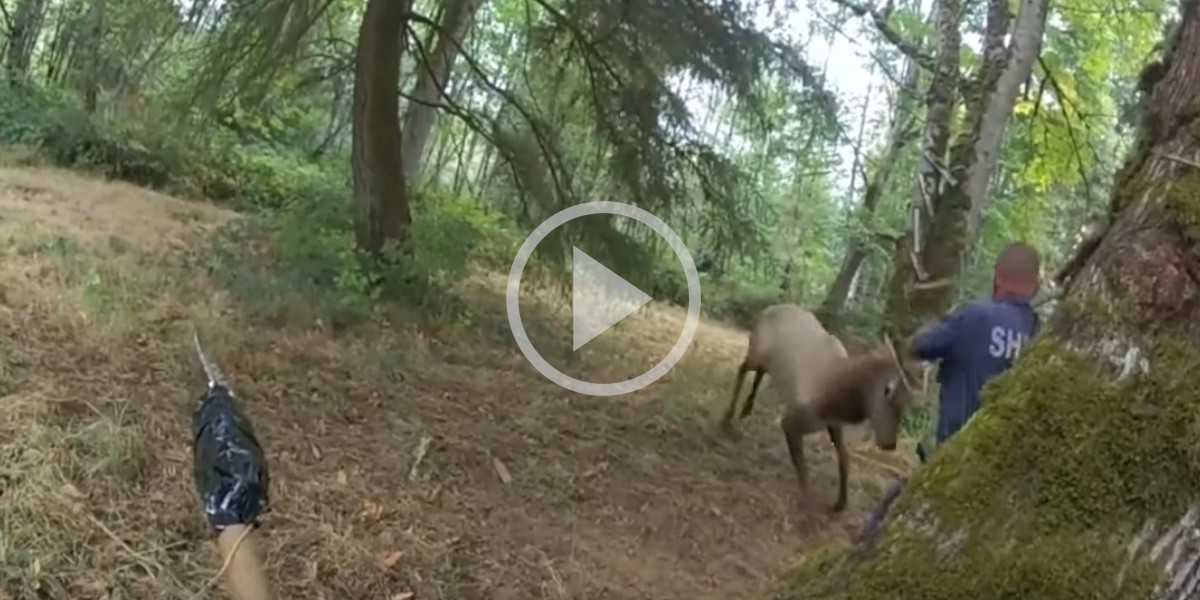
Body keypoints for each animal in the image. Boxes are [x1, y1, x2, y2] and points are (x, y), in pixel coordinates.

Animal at [715, 304, 921, 511]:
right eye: (888, 392)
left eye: (908, 401)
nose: (890, 444)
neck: (835, 401)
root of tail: (768, 309)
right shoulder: (791, 421)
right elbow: (802, 468)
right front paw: (808, 504)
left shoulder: (835, 425)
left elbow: (845, 457)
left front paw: (840, 502)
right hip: (757, 351)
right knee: (742, 368)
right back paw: (727, 419)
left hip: (767, 362)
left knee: (758, 374)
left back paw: (746, 410)